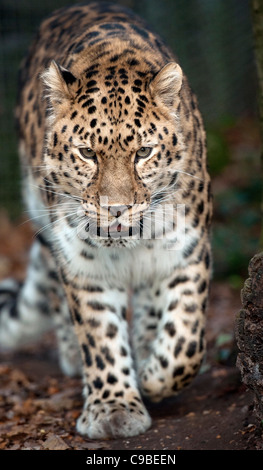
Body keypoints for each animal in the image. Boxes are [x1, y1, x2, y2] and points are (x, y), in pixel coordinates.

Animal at [0, 1, 212, 438]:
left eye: (144, 152)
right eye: (87, 153)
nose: (115, 208)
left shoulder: (187, 249)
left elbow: (186, 338)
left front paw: (152, 377)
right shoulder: (84, 263)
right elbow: (99, 335)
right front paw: (114, 408)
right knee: (53, 288)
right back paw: (72, 355)